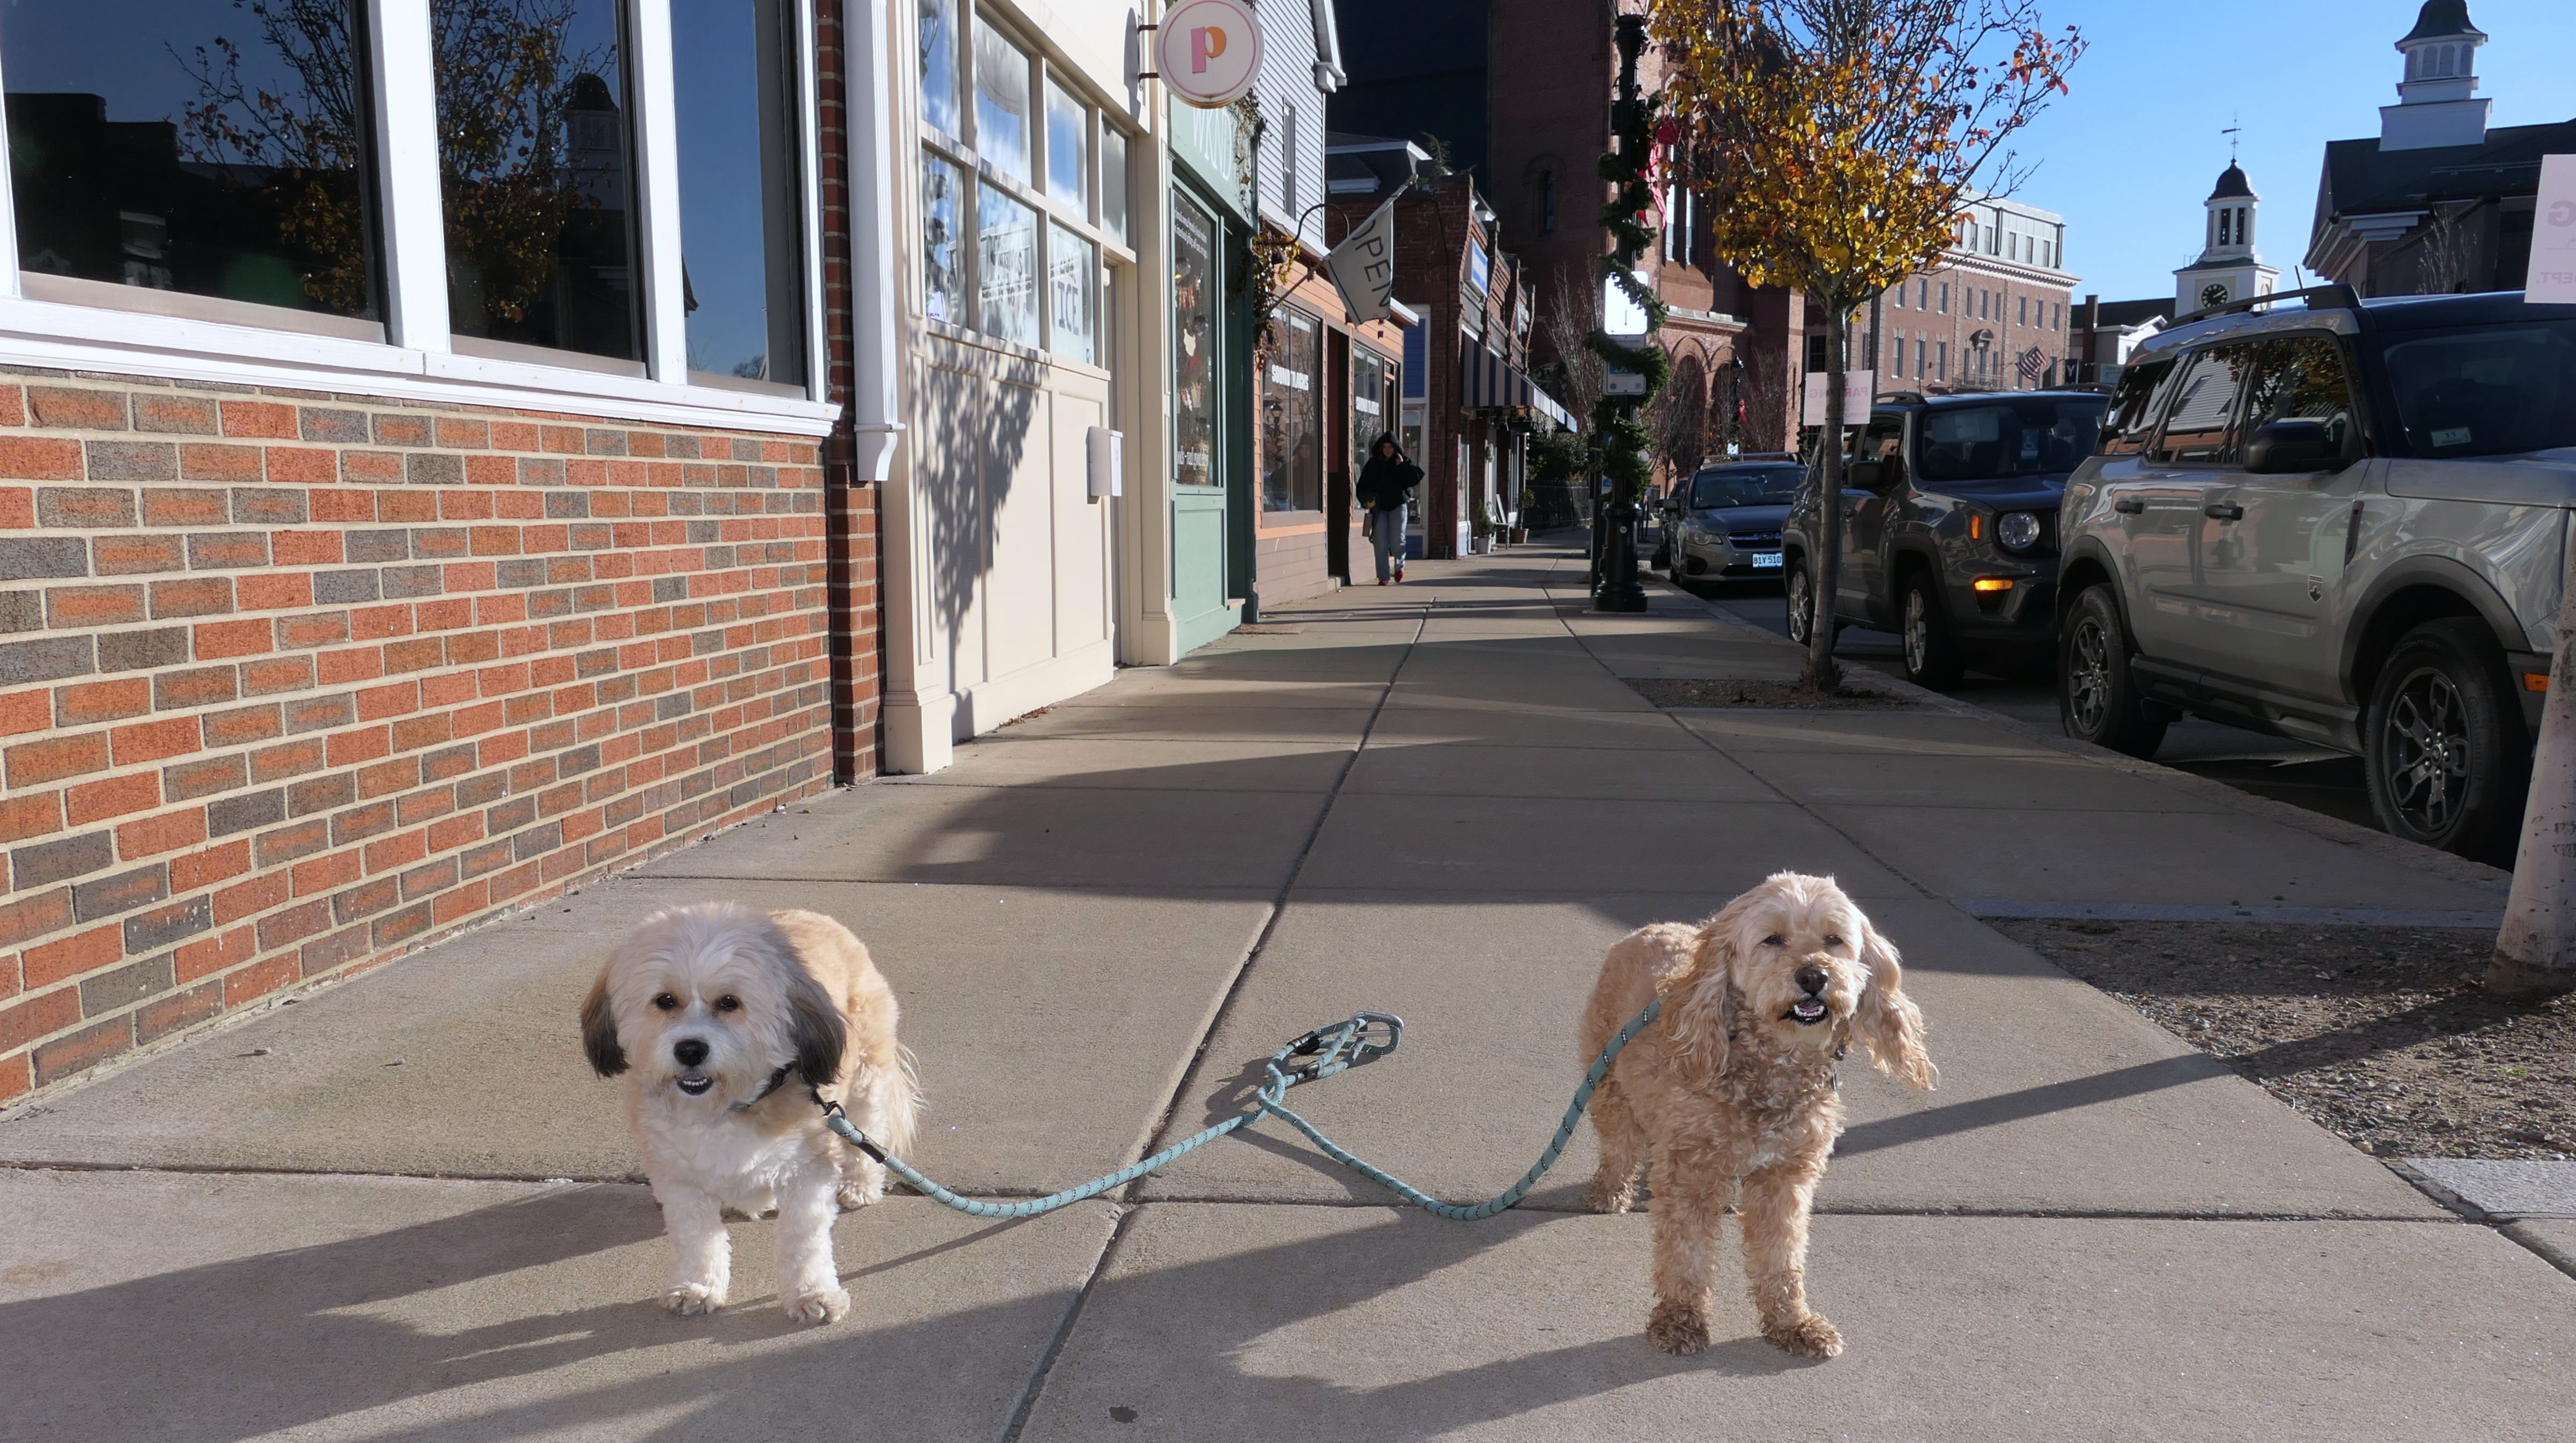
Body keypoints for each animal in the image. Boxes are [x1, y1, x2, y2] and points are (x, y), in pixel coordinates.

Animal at [581, 902, 920, 1325]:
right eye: (665, 1000)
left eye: (729, 1002)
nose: (690, 1049)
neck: (727, 1107)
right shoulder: (679, 1177)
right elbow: (697, 1238)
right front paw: (698, 1286)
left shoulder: (808, 1172)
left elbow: (804, 1241)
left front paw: (812, 1293)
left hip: (864, 1079)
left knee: (866, 1136)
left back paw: (860, 1184)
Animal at [1579, 872, 1935, 1359]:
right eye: (1772, 939)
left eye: (1834, 939)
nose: (1813, 975)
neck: (1771, 1065)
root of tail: (1650, 927)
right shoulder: (1692, 1173)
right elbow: (1685, 1254)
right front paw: (1679, 1319)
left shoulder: (1785, 1176)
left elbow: (1782, 1254)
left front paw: (1793, 1323)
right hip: (1608, 1082)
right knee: (1618, 1141)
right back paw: (1611, 1189)